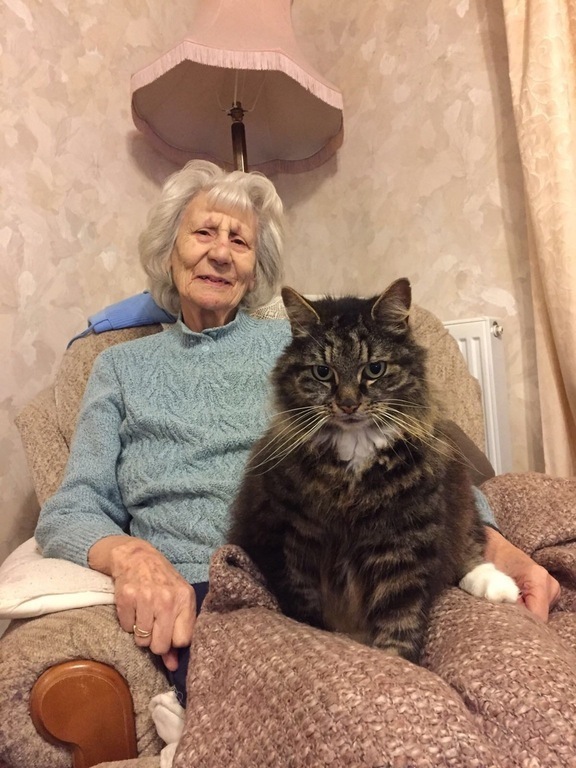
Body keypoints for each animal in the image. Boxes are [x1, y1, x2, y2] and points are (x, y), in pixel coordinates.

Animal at [228, 278, 519, 662]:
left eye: (374, 370)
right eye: (323, 372)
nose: (349, 404)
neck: (355, 452)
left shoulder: (403, 539)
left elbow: (399, 616)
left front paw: (397, 659)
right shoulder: (293, 539)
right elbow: (306, 609)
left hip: (456, 500)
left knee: (468, 551)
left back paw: (500, 587)